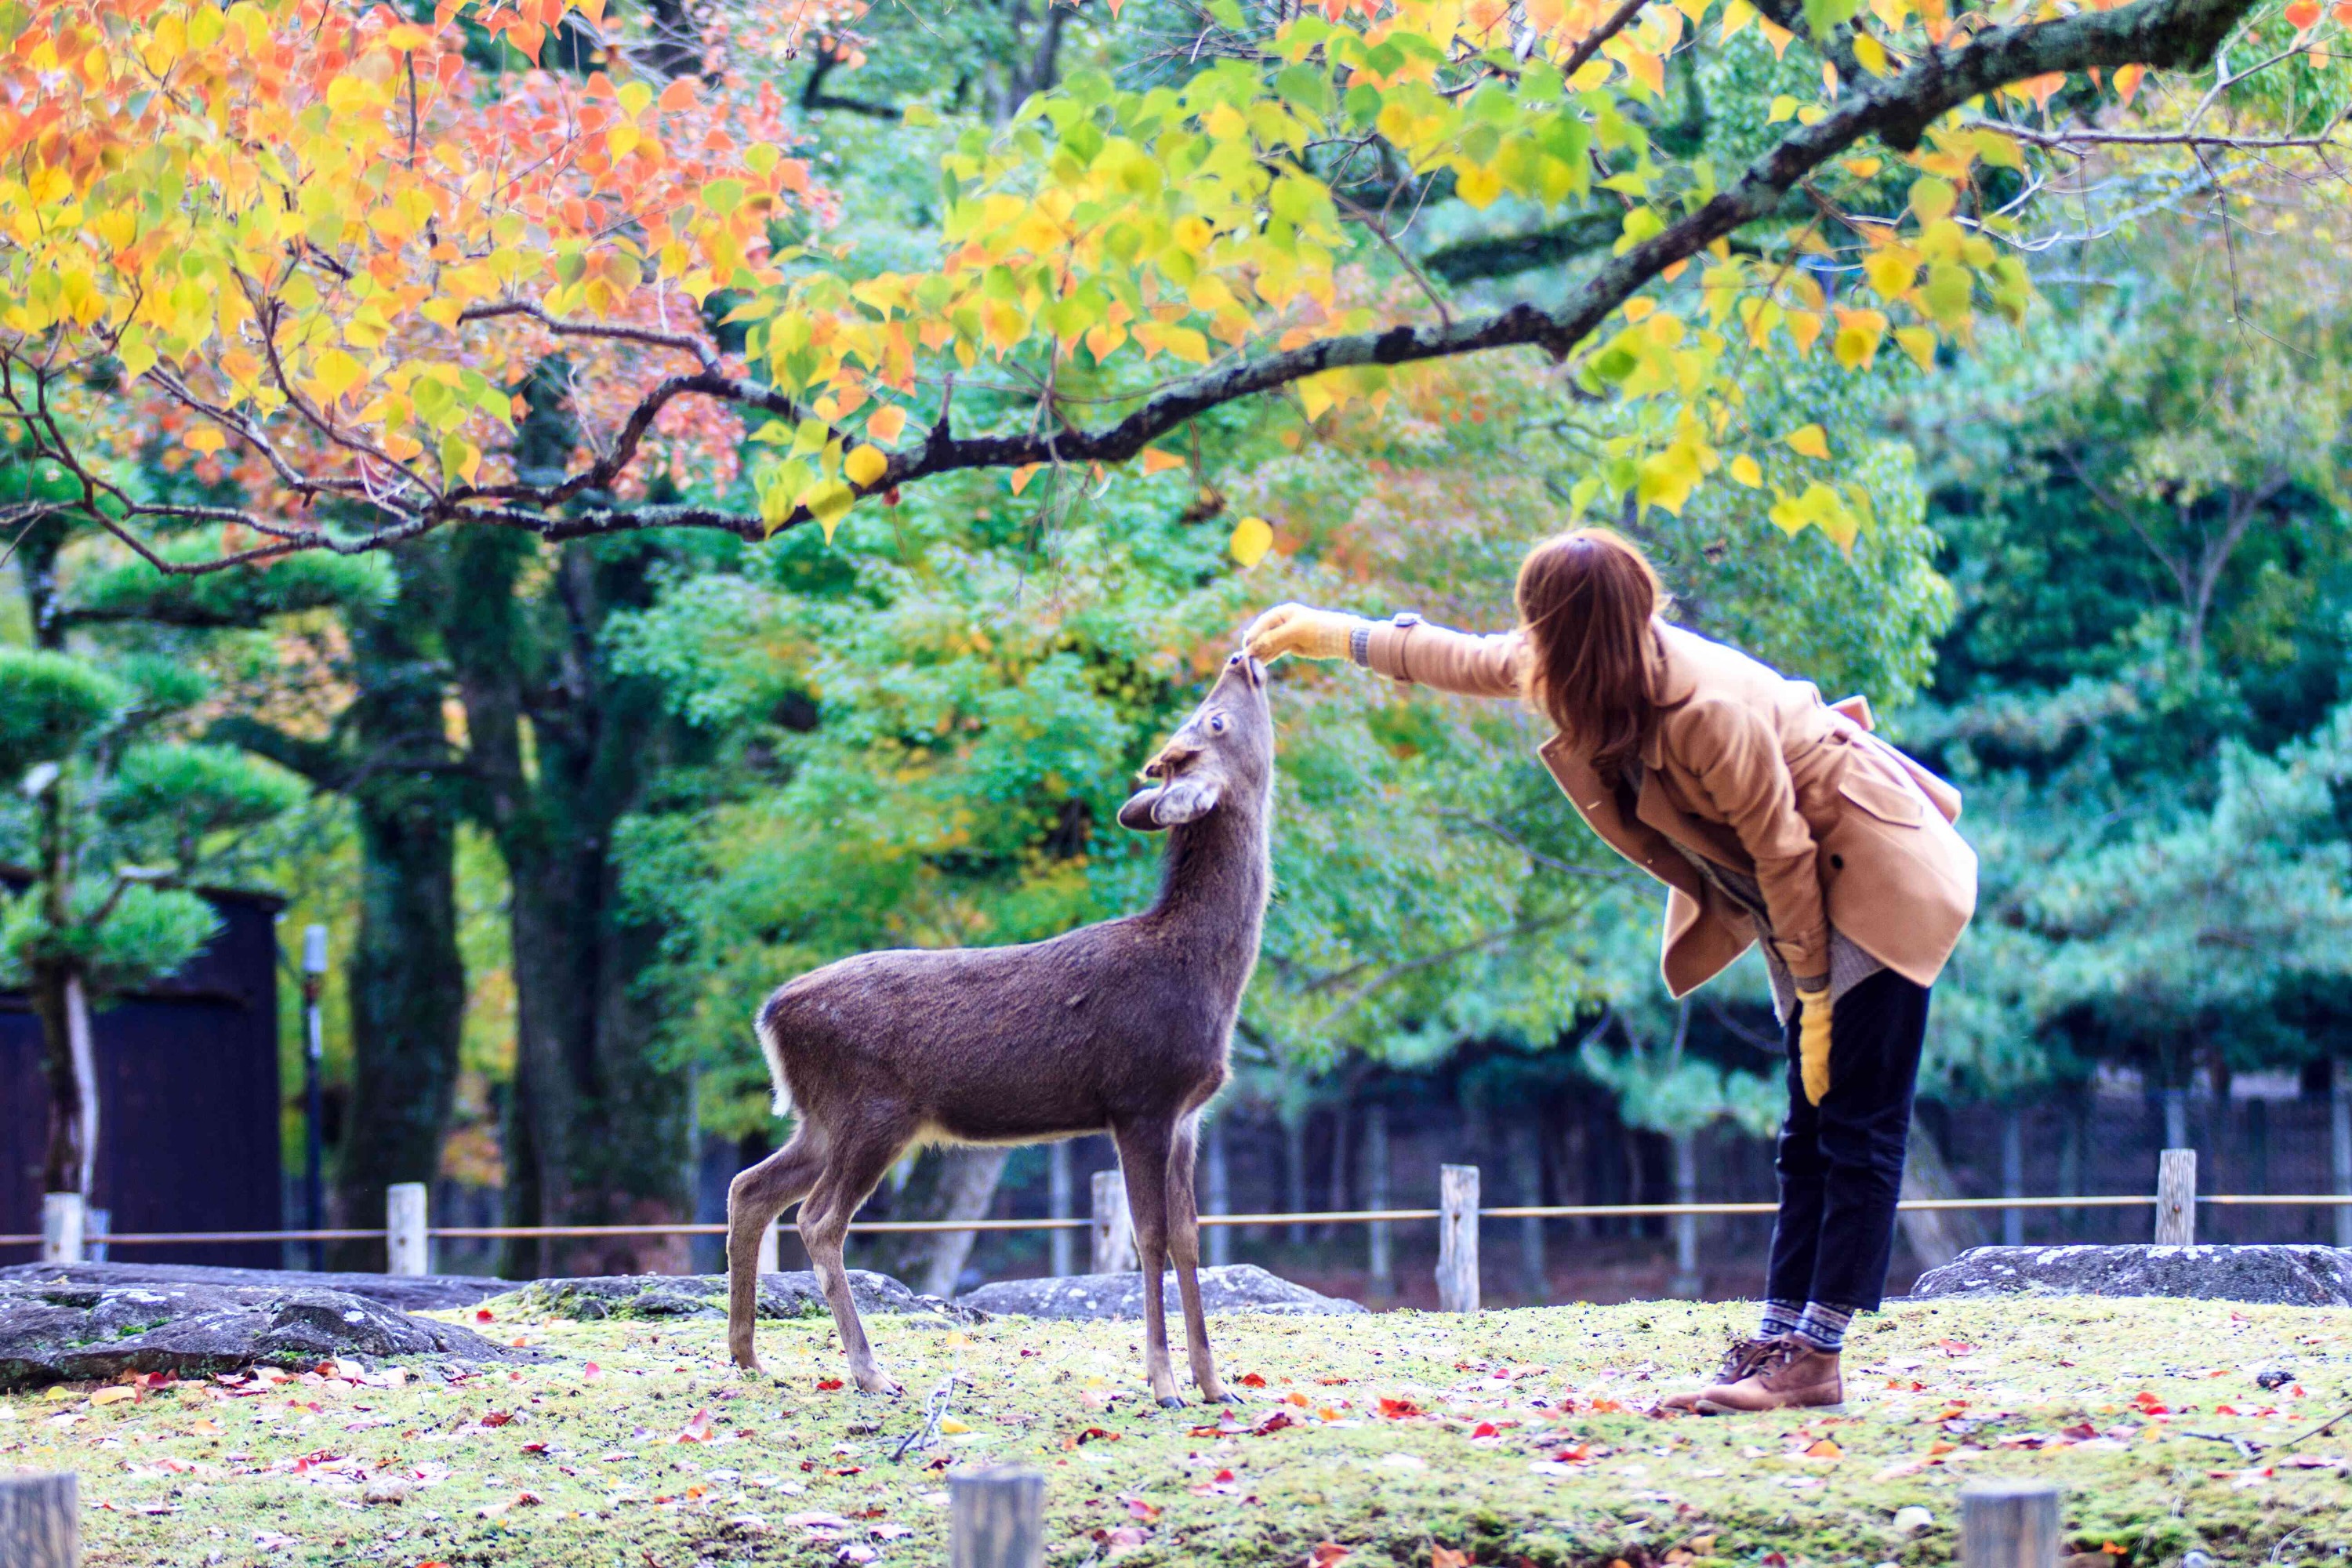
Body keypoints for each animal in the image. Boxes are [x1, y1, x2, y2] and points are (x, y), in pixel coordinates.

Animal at [720, 648, 1279, 1410]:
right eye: (1213, 718)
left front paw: (1216, 1385)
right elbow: (1151, 1236)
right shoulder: (1139, 1097)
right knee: (818, 1218)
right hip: (874, 1110)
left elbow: (1193, 1237)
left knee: (751, 1187)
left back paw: (747, 1355)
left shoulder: (1190, 1111)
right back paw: (870, 1371)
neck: (1203, 974)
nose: (1242, 657)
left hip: (823, 1117)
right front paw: (1163, 1385)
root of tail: (771, 1014)